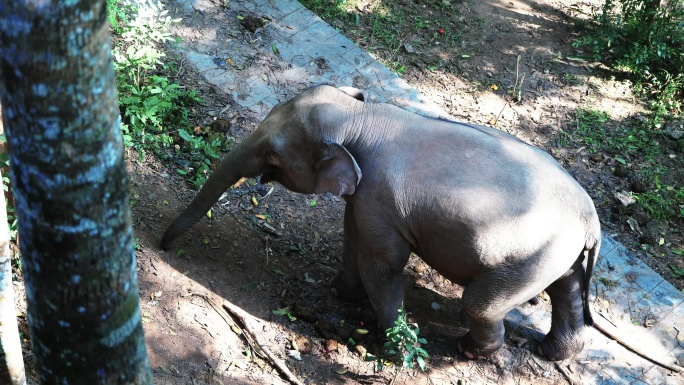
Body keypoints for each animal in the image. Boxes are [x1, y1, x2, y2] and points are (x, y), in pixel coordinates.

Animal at [163, 84, 600, 360]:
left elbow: (382, 263)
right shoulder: (365, 198)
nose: (161, 245)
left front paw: (393, 346)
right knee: (567, 290)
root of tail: (592, 220)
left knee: (481, 304)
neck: (363, 115)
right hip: (554, 256)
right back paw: (551, 353)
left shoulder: (380, 198)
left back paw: (473, 352)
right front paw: (339, 292)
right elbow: (352, 237)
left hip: (526, 262)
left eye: (274, 154)